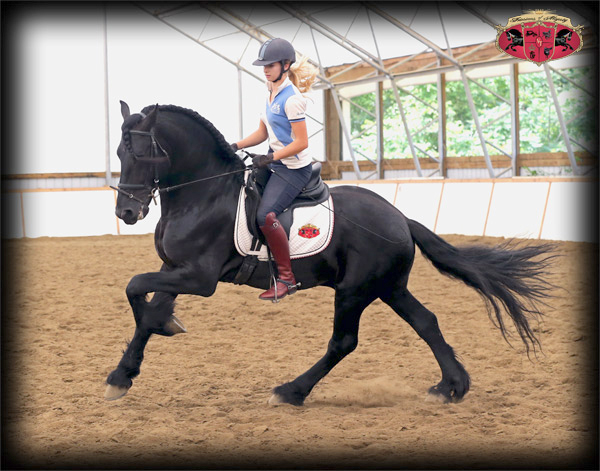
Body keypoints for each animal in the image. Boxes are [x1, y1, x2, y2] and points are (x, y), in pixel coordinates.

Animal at [105, 102, 556, 406]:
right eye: (119, 154)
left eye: (142, 154)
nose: (126, 213)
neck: (204, 192)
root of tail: (399, 218)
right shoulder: (174, 267)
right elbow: (147, 307)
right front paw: (125, 372)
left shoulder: (199, 277)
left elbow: (134, 288)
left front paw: (152, 339)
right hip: (389, 287)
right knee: (426, 322)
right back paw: (452, 387)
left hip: (355, 290)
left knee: (344, 341)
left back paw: (290, 391)